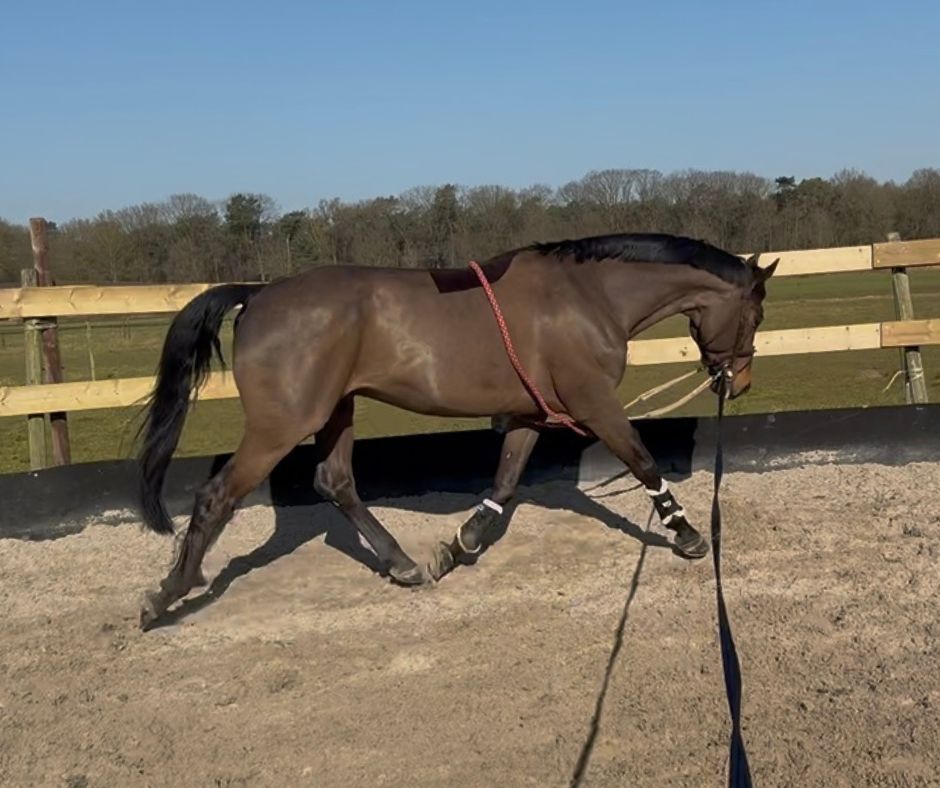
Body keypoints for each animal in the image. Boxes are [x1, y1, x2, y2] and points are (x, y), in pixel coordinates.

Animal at [136, 232, 777, 629]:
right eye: (757, 312)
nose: (741, 381)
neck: (587, 295)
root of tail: (259, 294)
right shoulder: (593, 403)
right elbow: (643, 463)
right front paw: (688, 534)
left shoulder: (532, 414)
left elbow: (505, 483)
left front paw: (460, 544)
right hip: (282, 425)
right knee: (217, 496)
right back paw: (167, 594)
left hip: (336, 411)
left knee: (335, 482)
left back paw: (402, 563)